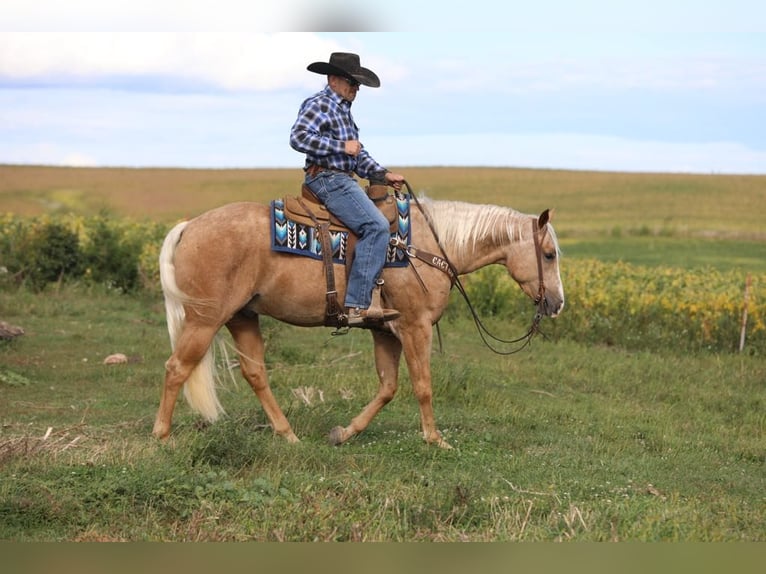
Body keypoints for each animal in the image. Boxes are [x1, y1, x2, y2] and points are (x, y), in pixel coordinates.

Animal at [154, 194, 564, 450]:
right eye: (548, 254)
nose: (557, 303)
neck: (427, 246)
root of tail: (190, 226)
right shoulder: (414, 327)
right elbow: (423, 386)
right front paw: (435, 439)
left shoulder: (386, 332)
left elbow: (388, 388)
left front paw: (345, 432)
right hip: (206, 319)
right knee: (176, 368)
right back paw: (161, 436)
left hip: (243, 317)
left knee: (255, 374)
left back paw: (288, 436)